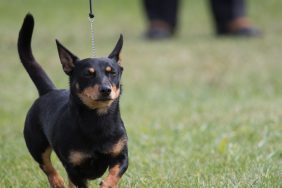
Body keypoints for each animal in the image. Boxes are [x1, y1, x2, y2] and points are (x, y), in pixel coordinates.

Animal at [17, 13, 128, 188]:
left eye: (113, 73)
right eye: (88, 74)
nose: (106, 90)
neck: (97, 119)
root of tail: (49, 91)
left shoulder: (121, 156)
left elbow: (116, 173)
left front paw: (107, 184)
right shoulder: (74, 168)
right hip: (37, 146)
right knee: (46, 165)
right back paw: (56, 181)